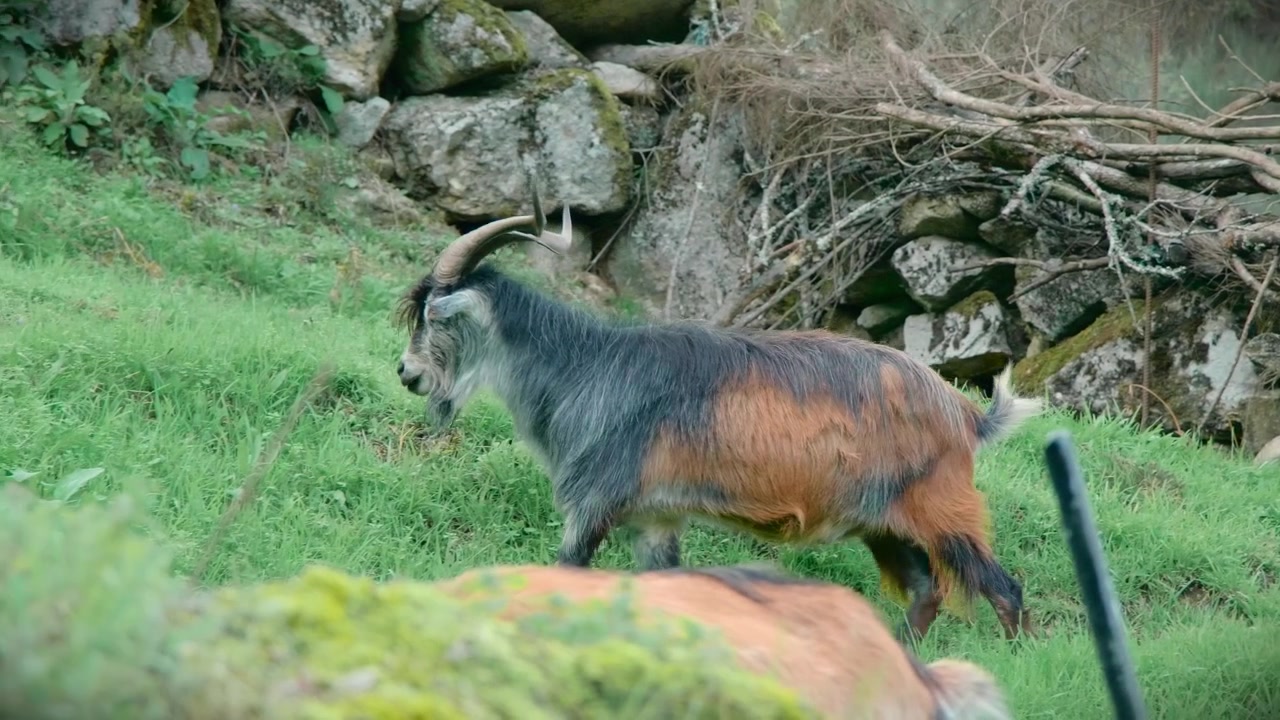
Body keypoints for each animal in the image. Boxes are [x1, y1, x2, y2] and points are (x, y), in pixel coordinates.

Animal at [394, 179, 1044, 641]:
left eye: (430, 316)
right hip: (887, 525)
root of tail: (966, 415)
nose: (407, 373)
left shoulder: (593, 506)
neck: (586, 369)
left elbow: (569, 571)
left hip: (943, 513)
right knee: (926, 591)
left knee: (1004, 589)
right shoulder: (654, 519)